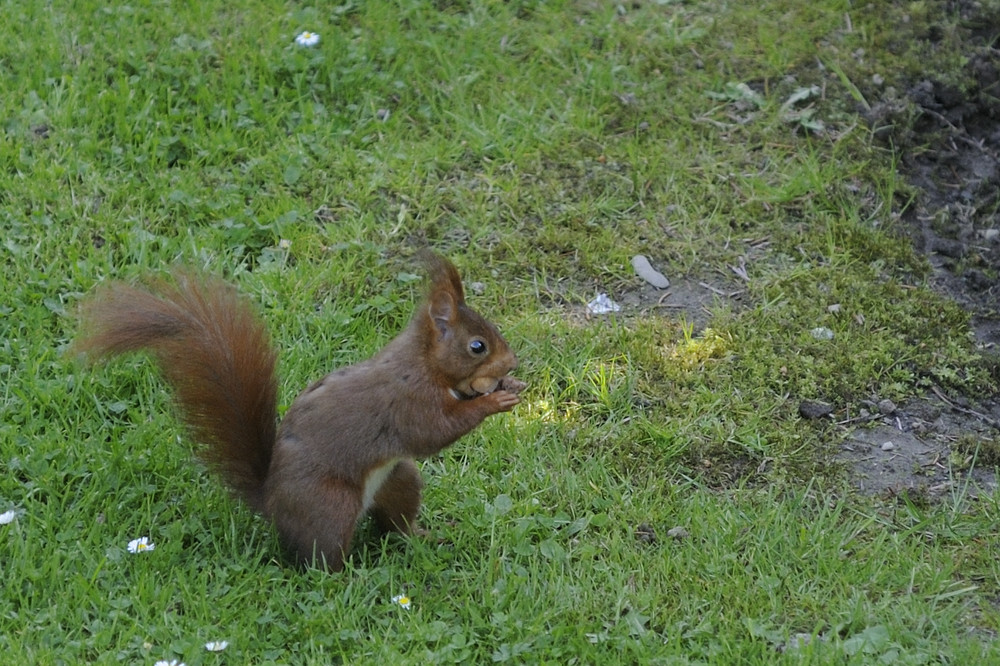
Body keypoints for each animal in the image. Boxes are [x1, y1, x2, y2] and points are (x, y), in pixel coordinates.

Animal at [72, 254, 524, 572]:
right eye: (478, 346)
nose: (512, 361)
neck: (423, 363)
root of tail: (272, 504)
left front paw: (510, 386)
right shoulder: (408, 400)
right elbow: (436, 431)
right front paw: (493, 402)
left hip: (399, 479)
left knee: (394, 525)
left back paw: (423, 535)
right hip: (331, 504)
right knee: (323, 561)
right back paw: (351, 581)